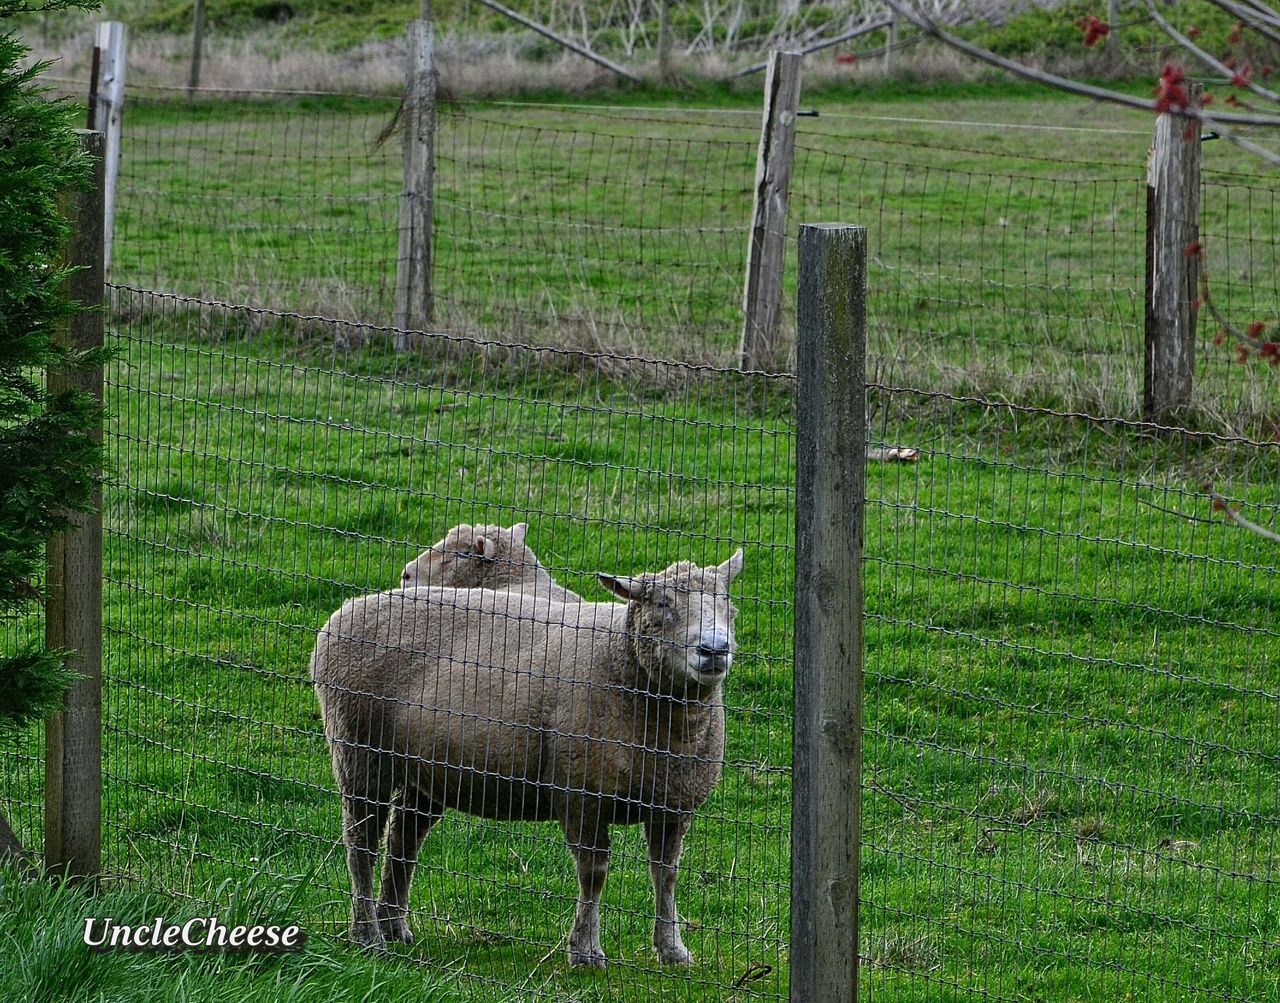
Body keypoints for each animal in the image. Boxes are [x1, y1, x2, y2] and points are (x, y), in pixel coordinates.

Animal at [311, 552, 747, 967]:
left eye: (727, 602)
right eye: (662, 603)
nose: (714, 650)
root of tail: (344, 611)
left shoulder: (672, 804)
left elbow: (666, 875)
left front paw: (673, 950)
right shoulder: (579, 794)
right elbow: (594, 872)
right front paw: (585, 950)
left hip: (425, 771)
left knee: (403, 840)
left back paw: (394, 927)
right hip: (359, 753)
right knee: (361, 843)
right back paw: (368, 936)